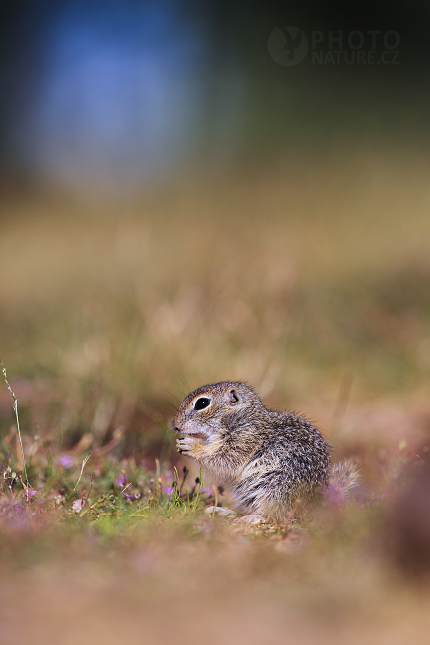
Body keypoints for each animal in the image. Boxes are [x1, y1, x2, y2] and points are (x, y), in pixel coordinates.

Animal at [173, 380, 358, 520]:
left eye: (202, 403)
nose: (174, 425)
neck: (244, 419)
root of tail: (317, 503)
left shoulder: (245, 440)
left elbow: (224, 460)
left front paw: (193, 445)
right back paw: (222, 511)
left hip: (274, 488)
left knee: (273, 515)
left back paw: (250, 518)